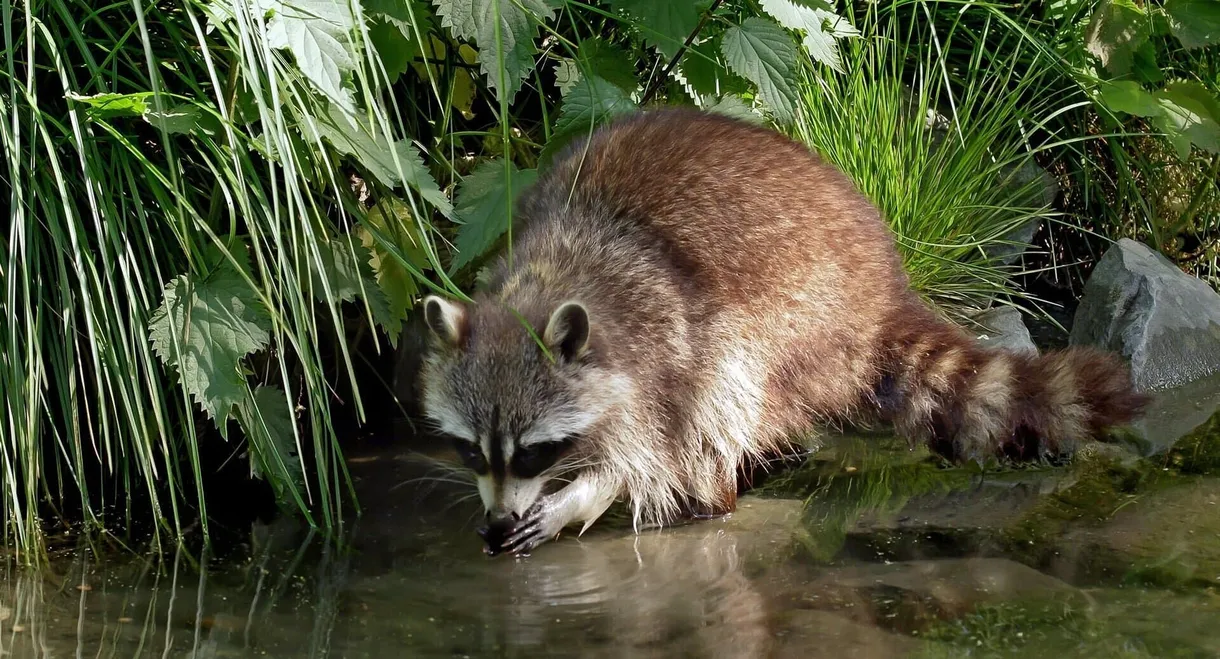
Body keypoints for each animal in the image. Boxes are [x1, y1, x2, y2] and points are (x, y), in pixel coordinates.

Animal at [414, 108, 1146, 556]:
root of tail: (882, 285)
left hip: (797, 314)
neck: (551, 274)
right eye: (471, 450)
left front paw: (581, 496)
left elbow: (654, 451)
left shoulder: (660, 341)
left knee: (725, 397)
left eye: (533, 453)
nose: (499, 519)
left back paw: (714, 499)